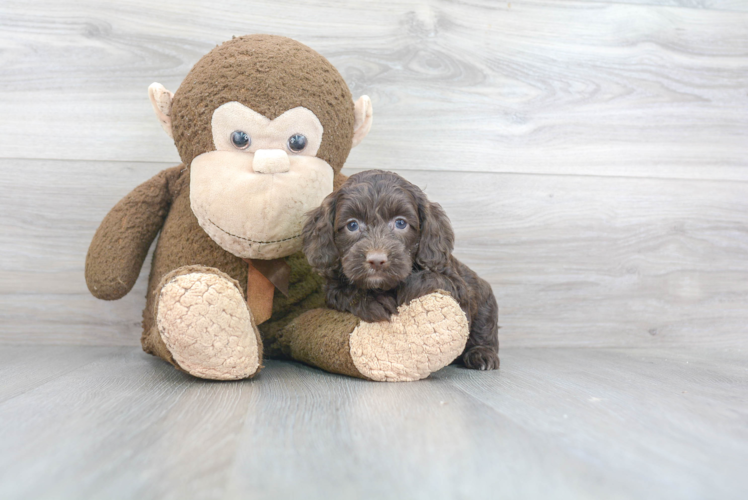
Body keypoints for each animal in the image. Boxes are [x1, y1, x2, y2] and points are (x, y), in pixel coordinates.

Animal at [300, 170, 500, 370]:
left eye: (401, 223)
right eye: (352, 225)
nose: (377, 260)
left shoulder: (457, 285)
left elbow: (440, 280)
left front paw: (410, 286)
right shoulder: (333, 288)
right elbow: (344, 292)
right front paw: (373, 300)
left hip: (484, 299)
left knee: (484, 329)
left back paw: (482, 354)